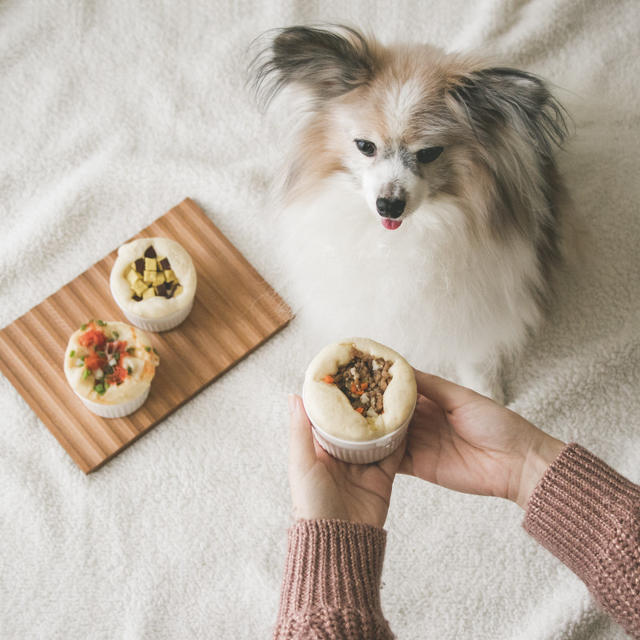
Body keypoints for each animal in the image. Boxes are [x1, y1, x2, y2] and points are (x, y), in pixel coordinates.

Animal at [250, 27, 568, 402]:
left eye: (429, 153)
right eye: (365, 146)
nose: (388, 204)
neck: (400, 238)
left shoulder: (479, 305)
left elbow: (478, 353)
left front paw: (488, 395)